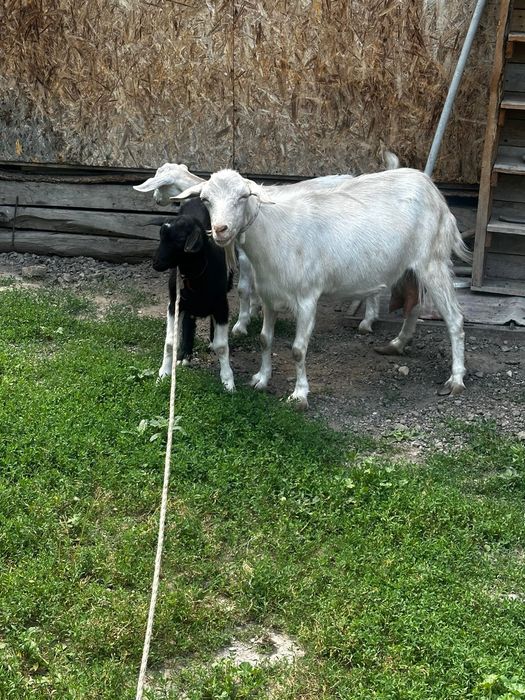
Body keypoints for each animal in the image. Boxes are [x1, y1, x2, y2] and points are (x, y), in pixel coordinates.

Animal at [152, 197, 235, 392]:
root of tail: (197, 198)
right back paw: (185, 355)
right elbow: (170, 342)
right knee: (189, 322)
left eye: (180, 239)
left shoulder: (222, 305)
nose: (156, 263)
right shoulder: (174, 303)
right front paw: (163, 374)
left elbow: (222, 346)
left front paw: (228, 381)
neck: (195, 275)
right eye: (161, 236)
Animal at [173, 167, 469, 408]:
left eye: (243, 197)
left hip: (433, 261)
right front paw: (261, 379)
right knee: (414, 305)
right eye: (206, 200)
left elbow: (297, 349)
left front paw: (299, 395)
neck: (273, 233)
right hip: (410, 268)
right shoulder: (269, 296)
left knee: (455, 319)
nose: (220, 229)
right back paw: (398, 344)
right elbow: (265, 339)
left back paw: (456, 379)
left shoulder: (306, 297)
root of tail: (431, 188)